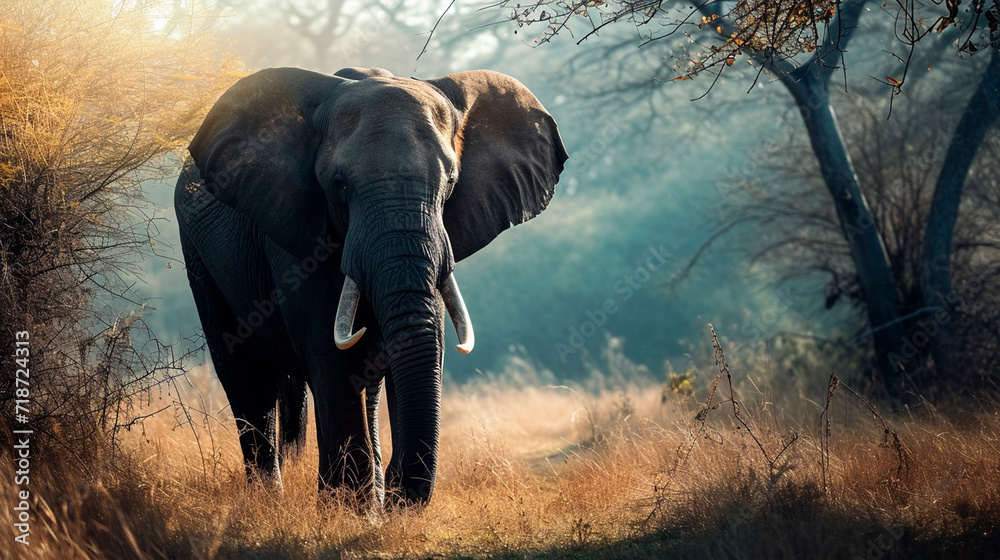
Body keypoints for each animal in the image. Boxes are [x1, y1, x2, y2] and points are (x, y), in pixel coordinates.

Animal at [174, 66, 567, 507]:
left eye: (450, 183)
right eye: (340, 184)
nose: (400, 498)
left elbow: (416, 340)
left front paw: (372, 506)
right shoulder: (295, 231)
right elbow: (328, 352)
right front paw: (349, 511)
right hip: (199, 259)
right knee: (246, 375)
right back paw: (270, 501)